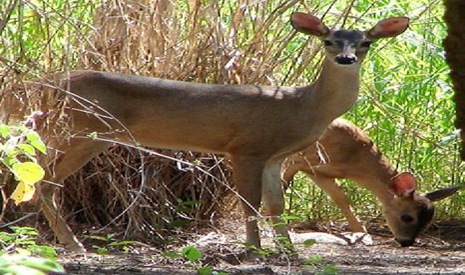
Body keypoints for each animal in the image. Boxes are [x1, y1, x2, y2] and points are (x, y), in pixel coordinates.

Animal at [2, 12, 410, 252]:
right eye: (328, 41)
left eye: (365, 42)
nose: (346, 58)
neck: (301, 105)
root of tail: (44, 85)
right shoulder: (246, 147)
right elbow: (250, 203)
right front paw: (253, 251)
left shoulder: (276, 156)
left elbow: (276, 205)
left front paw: (289, 251)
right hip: (83, 130)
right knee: (47, 181)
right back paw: (73, 245)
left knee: (36, 177)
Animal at [282, 118, 460, 248]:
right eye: (407, 217)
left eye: (428, 221)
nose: (406, 242)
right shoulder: (294, 159)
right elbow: (282, 187)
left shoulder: (317, 172)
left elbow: (341, 199)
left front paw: (363, 234)